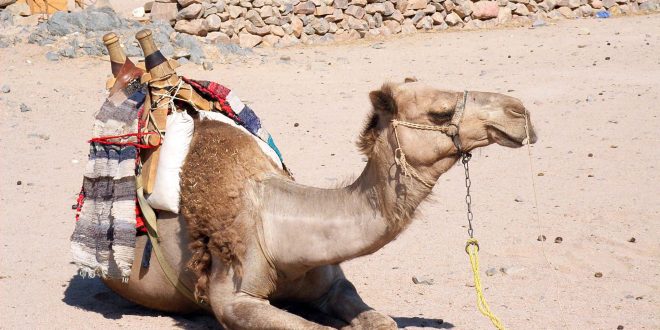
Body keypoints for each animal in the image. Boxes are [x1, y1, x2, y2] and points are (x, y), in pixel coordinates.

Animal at [103, 29, 536, 328]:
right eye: (441, 112)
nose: (520, 112)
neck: (278, 229)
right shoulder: (233, 298)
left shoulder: (332, 284)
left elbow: (382, 321)